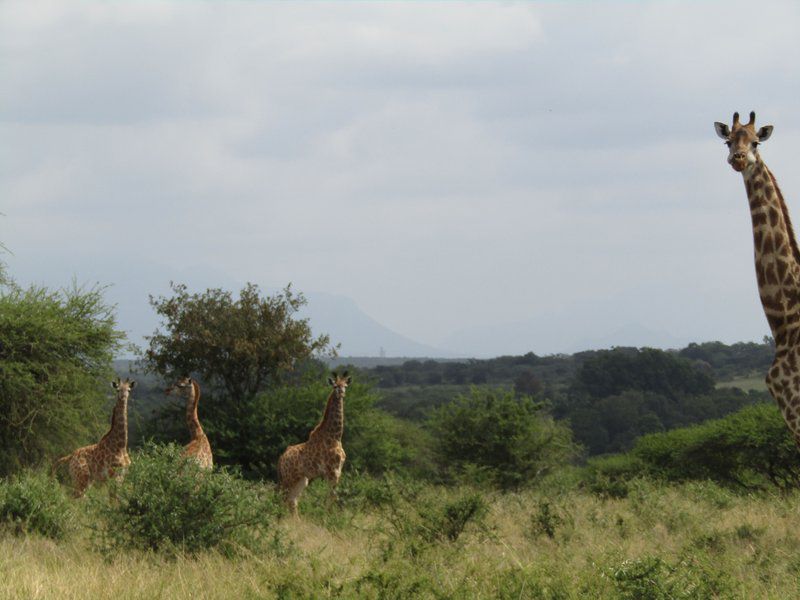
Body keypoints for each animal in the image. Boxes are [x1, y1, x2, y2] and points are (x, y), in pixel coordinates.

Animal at [276, 370, 348, 516]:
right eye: (335, 386)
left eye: (345, 386)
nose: (341, 393)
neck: (335, 437)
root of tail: (281, 458)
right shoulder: (332, 471)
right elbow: (332, 495)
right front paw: (328, 517)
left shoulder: (338, 470)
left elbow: (332, 495)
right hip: (288, 477)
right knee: (283, 498)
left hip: (301, 479)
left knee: (292, 500)